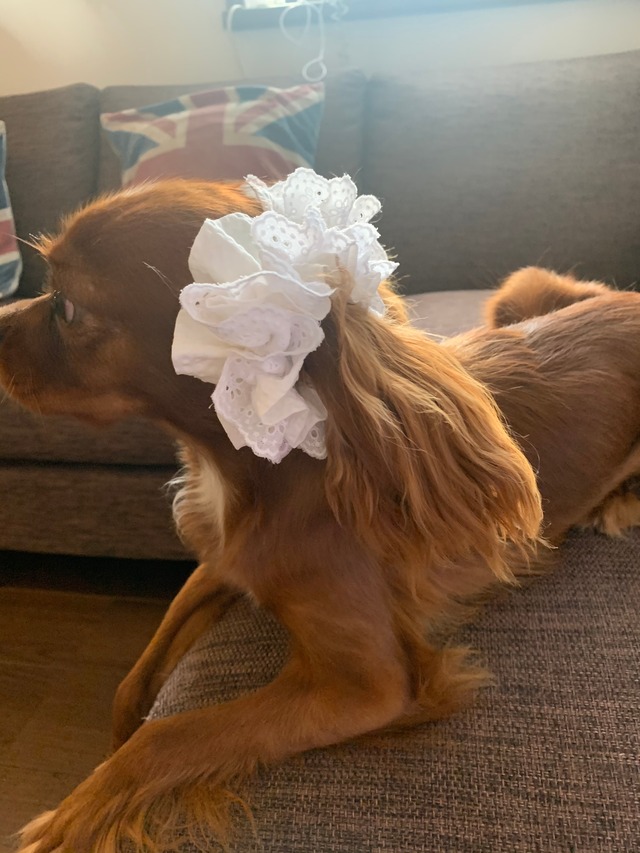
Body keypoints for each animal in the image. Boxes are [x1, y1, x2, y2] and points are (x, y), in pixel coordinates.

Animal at [2, 178, 640, 853]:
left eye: (69, 309)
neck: (256, 473)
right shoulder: (227, 562)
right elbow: (134, 683)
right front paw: (111, 740)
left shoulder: (367, 687)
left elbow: (166, 736)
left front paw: (69, 817)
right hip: (519, 289)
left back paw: (619, 502)